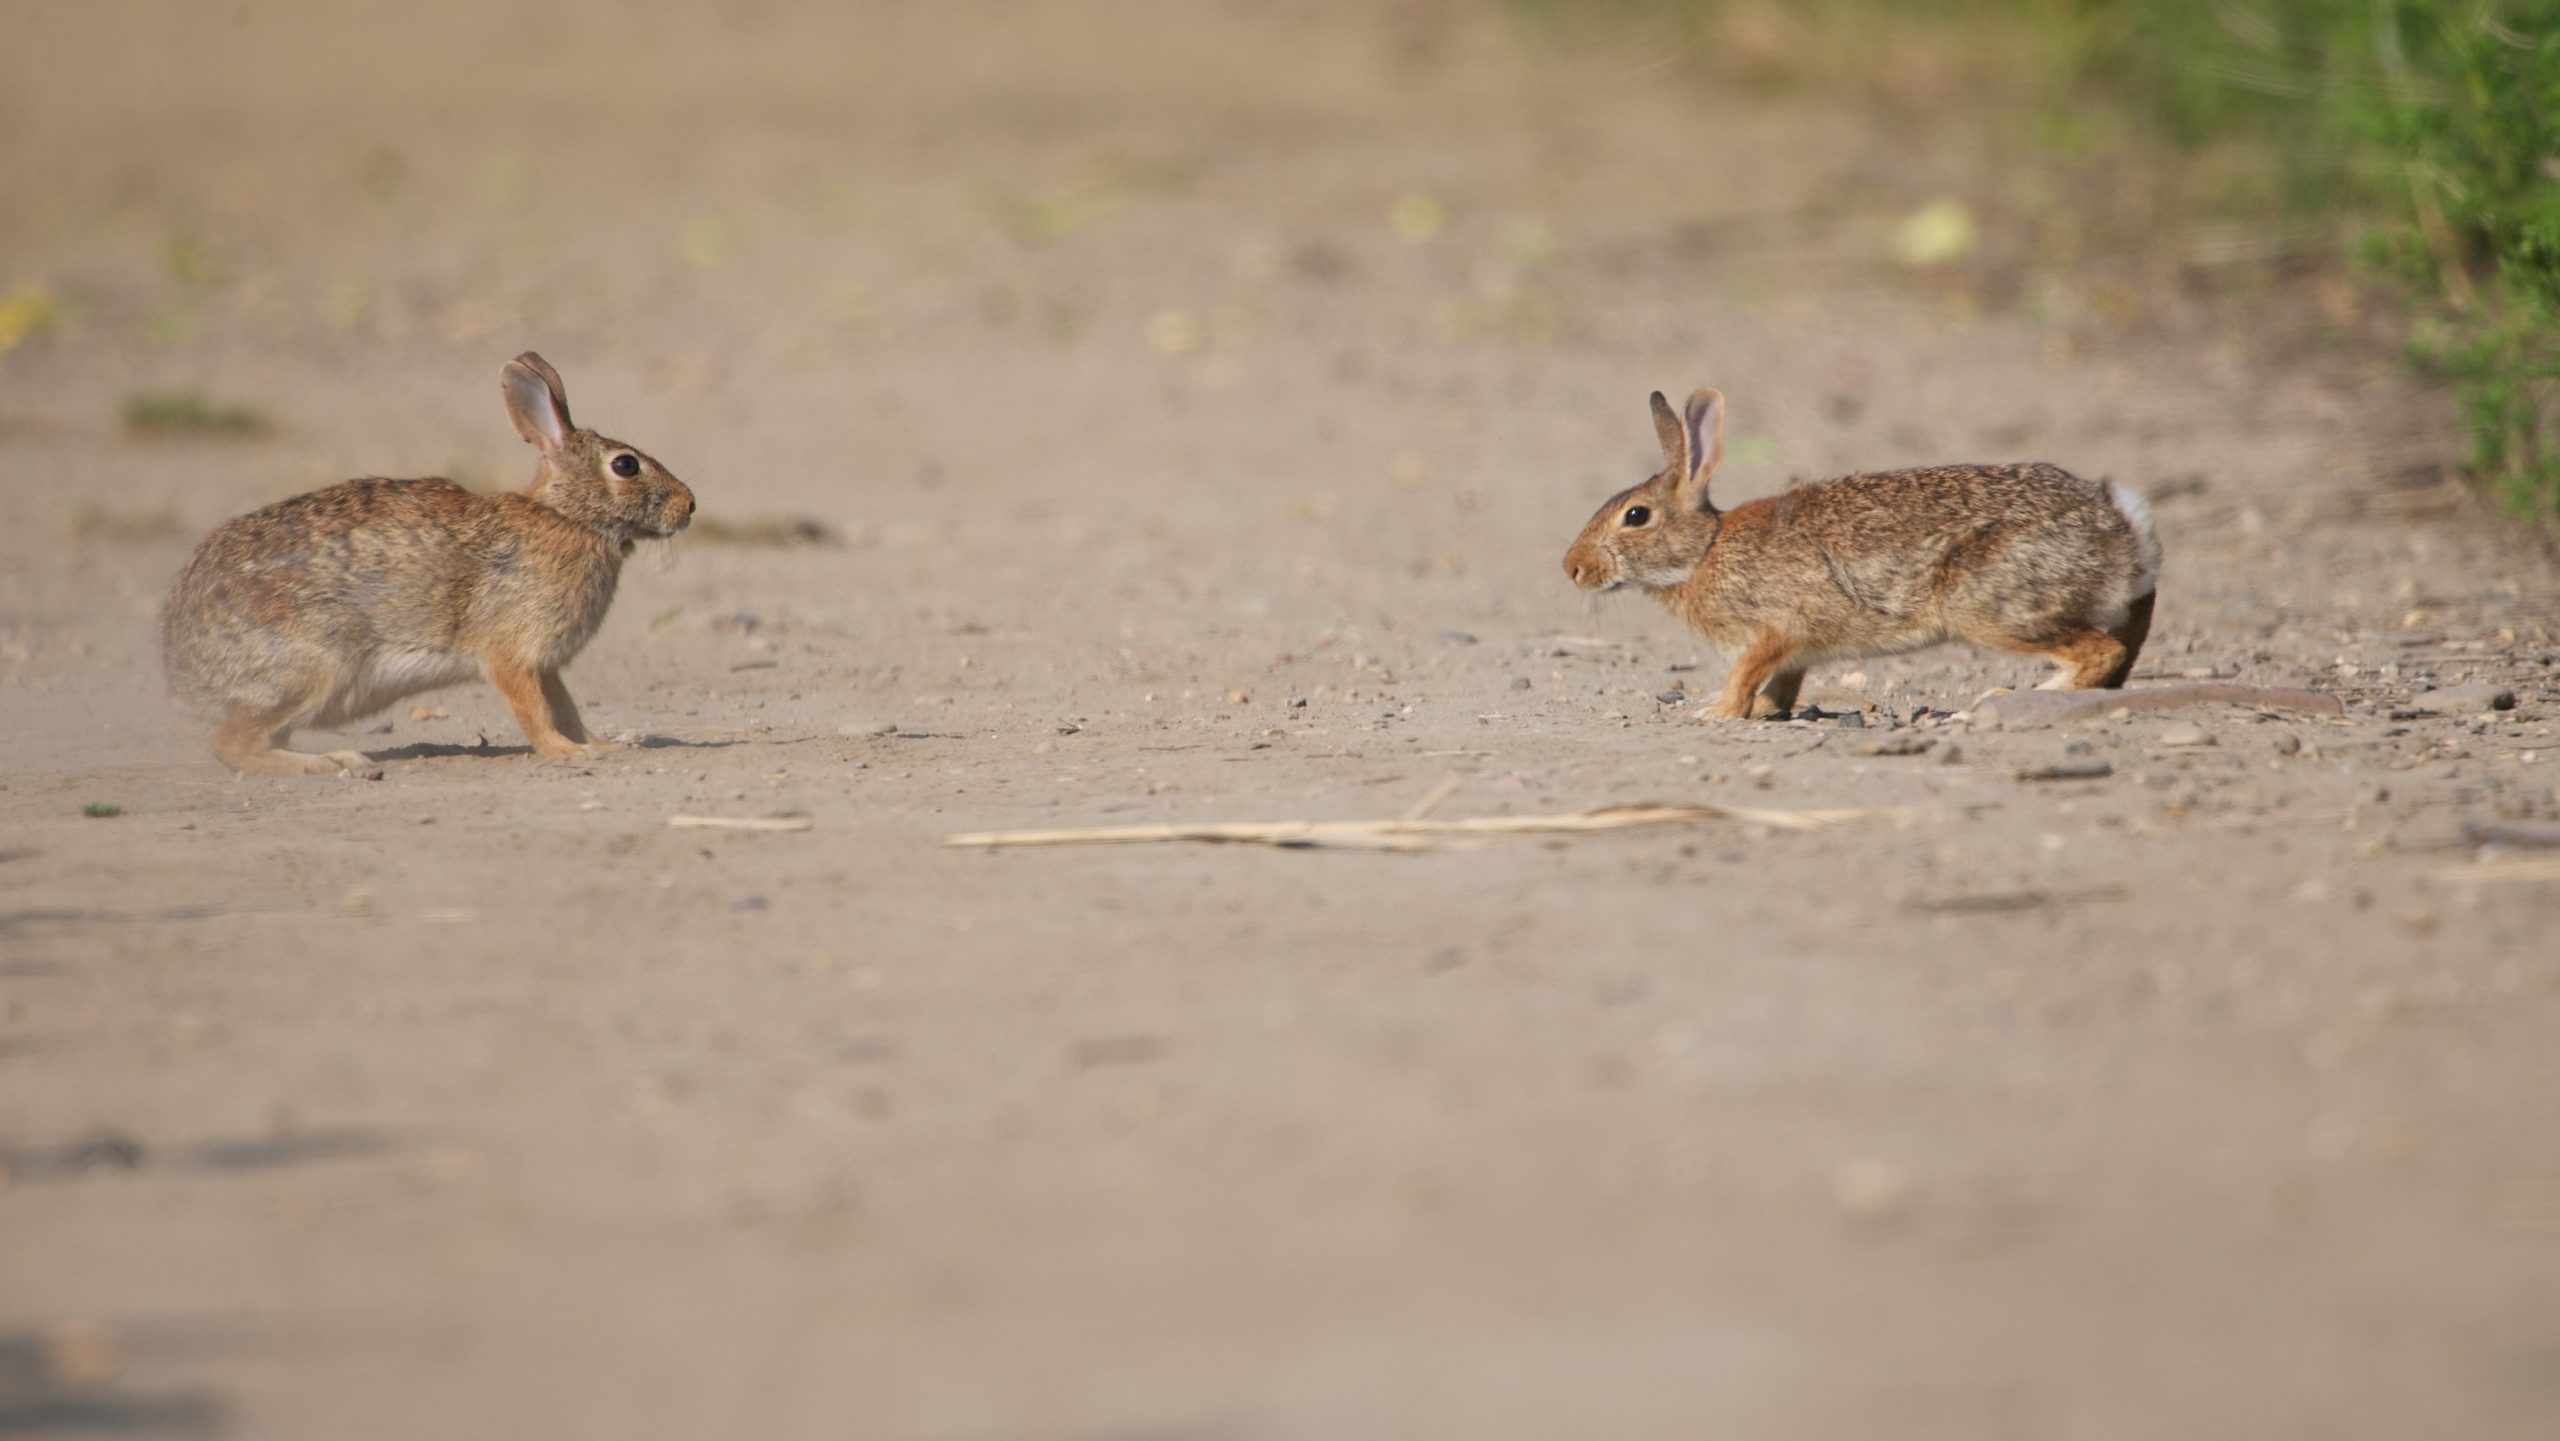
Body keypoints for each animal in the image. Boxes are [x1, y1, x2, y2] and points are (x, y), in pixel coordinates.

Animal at [161, 352, 695, 775]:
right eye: (626, 465)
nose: (689, 506)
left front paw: (602, 745)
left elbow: (566, 708)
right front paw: (567, 753)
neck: (569, 517)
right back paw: (334, 762)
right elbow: (535, 712)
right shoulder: (511, 654)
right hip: (315, 664)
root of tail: (182, 660)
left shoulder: (546, 665)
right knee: (233, 743)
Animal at [1563, 386, 2159, 720]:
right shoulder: (1795, 654)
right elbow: (1781, 685)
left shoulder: (1778, 629)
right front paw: (1761, 711)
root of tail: (2119, 526)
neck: (1705, 550)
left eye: (1635, 516)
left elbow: (1745, 673)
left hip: (1990, 606)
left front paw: (1717, 713)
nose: (1572, 568)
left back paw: (2007, 697)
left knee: (2100, 651)